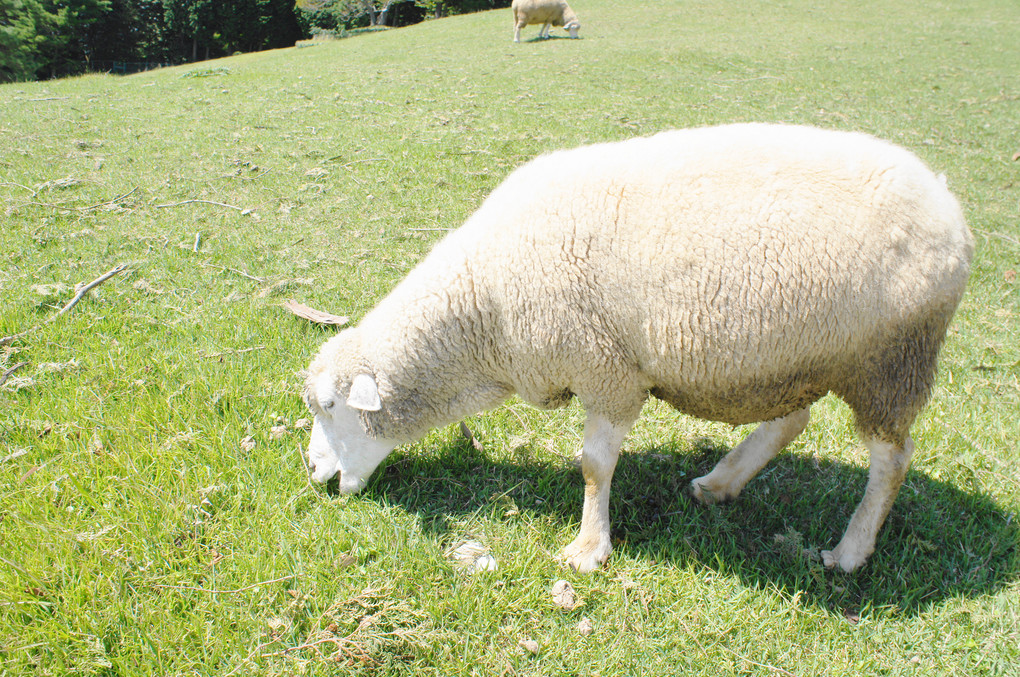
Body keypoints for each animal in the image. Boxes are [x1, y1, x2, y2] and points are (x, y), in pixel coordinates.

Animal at [299, 124, 971, 575]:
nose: (310, 471)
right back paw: (721, 483)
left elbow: (594, 465)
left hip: (890, 361)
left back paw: (849, 552)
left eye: (330, 407)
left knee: (891, 459)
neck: (483, 307)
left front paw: (587, 548)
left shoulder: (607, 369)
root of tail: (949, 207)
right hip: (784, 356)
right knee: (792, 420)